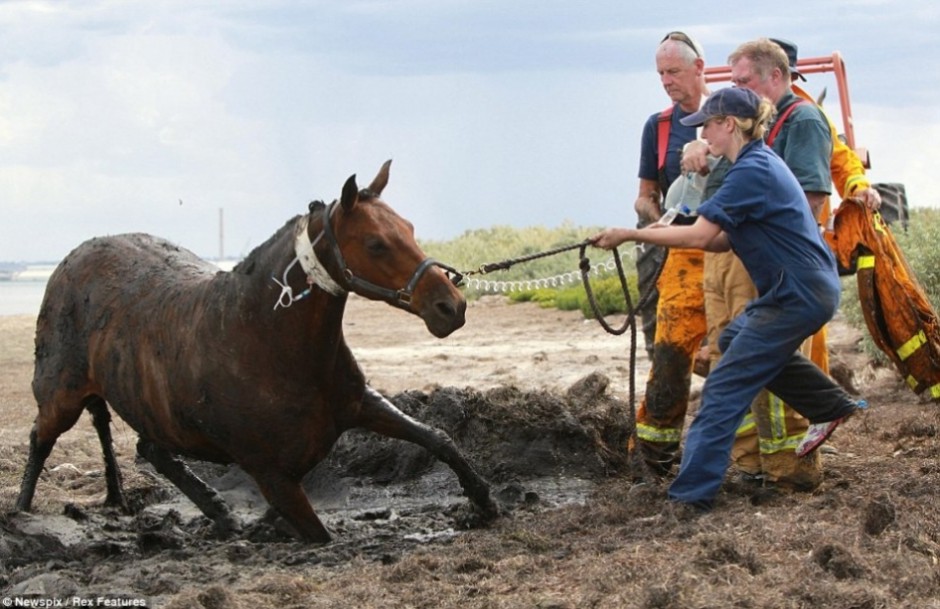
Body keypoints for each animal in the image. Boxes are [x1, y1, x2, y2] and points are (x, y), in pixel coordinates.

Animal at [16, 159, 500, 540]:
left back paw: (220, 513)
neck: (264, 342)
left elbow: (437, 438)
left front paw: (484, 503)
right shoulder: (274, 477)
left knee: (149, 450)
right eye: (375, 243)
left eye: (410, 229)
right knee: (41, 438)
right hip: (61, 398)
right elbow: (320, 535)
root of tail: (70, 260)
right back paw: (21, 513)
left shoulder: (359, 404)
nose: (450, 306)